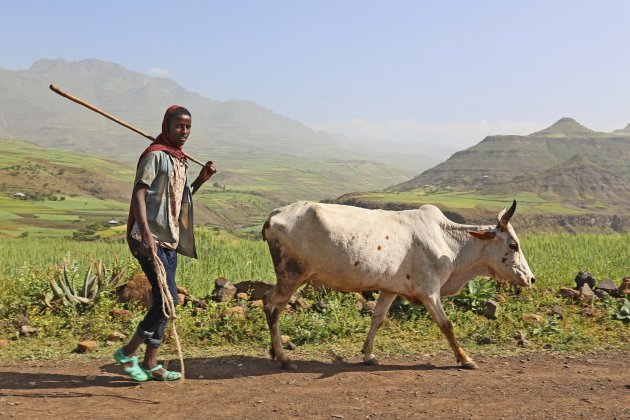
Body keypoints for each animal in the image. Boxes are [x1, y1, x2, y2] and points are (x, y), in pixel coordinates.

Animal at [264, 199, 536, 368]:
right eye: (513, 245)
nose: (531, 278)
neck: (448, 240)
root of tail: (273, 215)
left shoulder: (390, 289)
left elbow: (377, 319)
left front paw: (368, 355)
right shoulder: (429, 291)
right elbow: (447, 325)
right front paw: (465, 359)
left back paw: (275, 353)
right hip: (291, 276)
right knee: (272, 307)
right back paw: (284, 358)